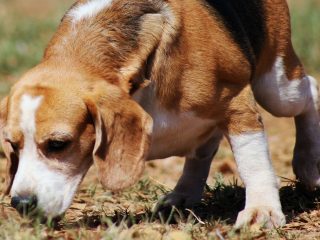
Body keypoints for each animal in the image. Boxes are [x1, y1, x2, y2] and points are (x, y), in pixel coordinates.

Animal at [0, 0, 320, 228]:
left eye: (58, 144)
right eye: (13, 145)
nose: (22, 203)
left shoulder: (237, 103)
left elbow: (253, 163)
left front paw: (261, 211)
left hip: (277, 87)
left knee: (310, 90)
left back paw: (309, 164)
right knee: (204, 148)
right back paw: (183, 194)